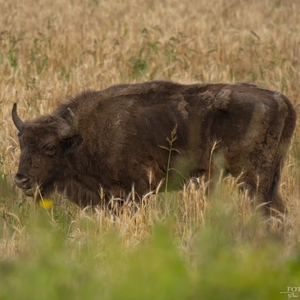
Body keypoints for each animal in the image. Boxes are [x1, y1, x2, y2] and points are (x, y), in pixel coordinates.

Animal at [11, 81, 296, 214]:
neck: (82, 135)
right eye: (22, 143)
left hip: (253, 178)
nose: (21, 180)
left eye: (49, 148)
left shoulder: (136, 190)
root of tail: (280, 99)